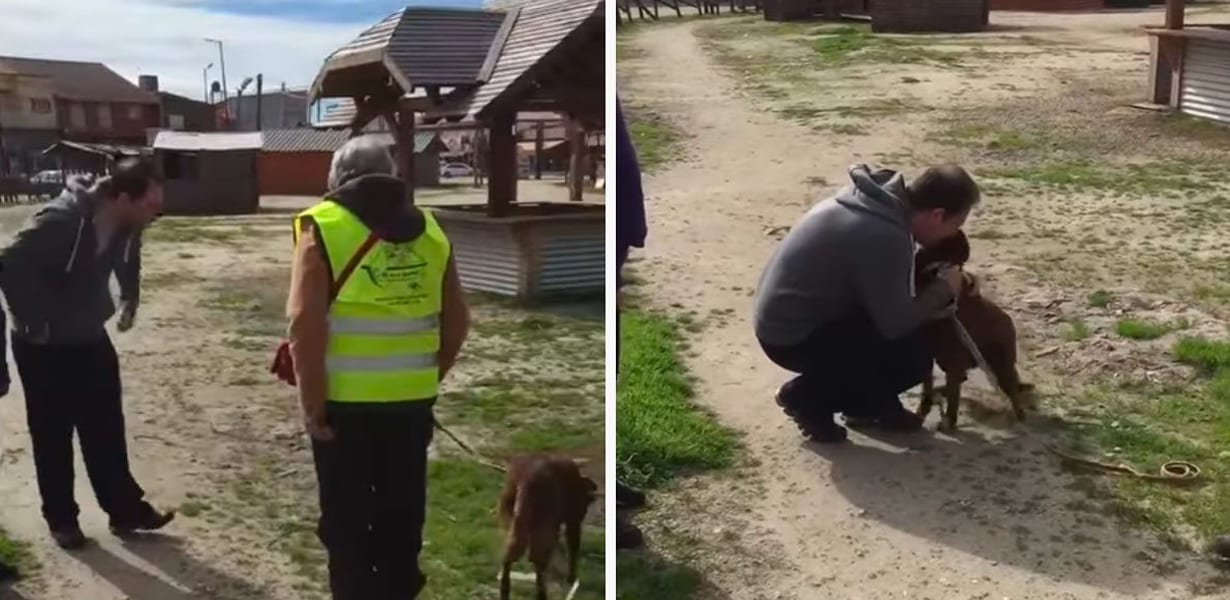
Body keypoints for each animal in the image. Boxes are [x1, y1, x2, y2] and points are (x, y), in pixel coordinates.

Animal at [496, 454, 597, 600]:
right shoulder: (573, 520)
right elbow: (573, 545)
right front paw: (571, 577)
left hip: (513, 515)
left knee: (512, 552)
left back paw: (505, 588)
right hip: (542, 520)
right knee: (537, 557)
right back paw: (541, 592)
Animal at [910, 231, 1033, 430]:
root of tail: (1008, 321)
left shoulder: (952, 363)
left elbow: (952, 399)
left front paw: (947, 421)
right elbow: (928, 390)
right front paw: (924, 409)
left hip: (1002, 366)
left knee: (1012, 391)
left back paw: (1019, 416)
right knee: (962, 379)